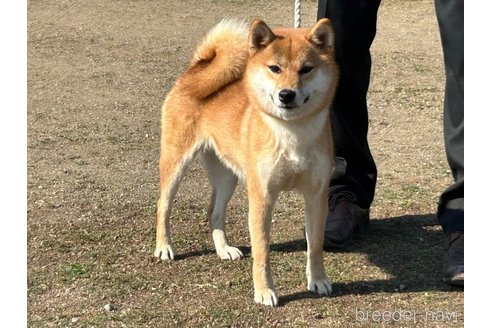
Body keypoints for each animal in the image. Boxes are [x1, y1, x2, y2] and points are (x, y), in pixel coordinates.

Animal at [154, 17, 338, 304]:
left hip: (227, 176)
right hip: (176, 163)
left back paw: (223, 249)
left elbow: (315, 247)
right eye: (274, 68)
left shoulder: (316, 197)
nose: (286, 94)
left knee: (214, 212)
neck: (292, 133)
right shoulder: (262, 197)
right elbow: (262, 252)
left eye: (306, 69)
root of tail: (196, 69)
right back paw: (164, 246)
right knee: (163, 205)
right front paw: (264, 291)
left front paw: (317, 280)